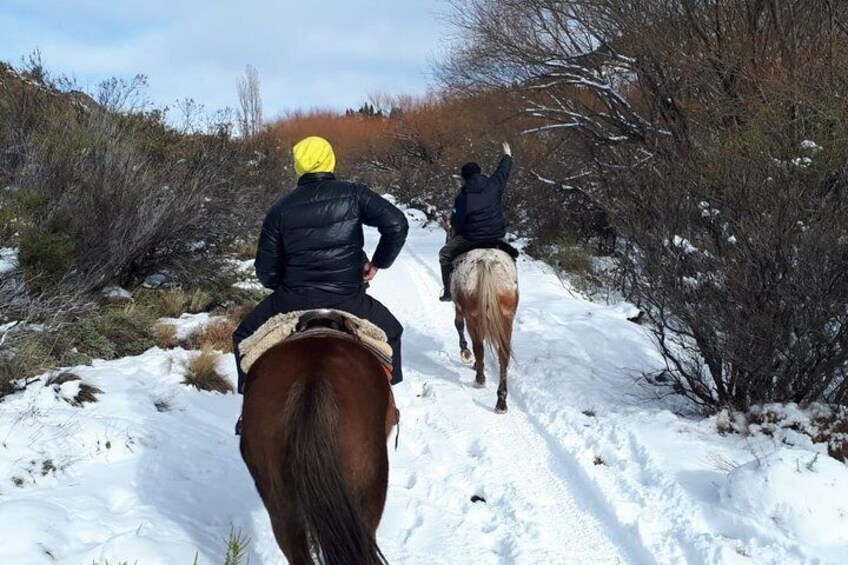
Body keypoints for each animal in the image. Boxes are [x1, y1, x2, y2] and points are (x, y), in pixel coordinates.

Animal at [450, 249, 516, 412]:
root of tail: (487, 261)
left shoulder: (460, 309)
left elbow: (458, 325)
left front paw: (466, 353)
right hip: (507, 318)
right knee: (503, 356)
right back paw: (501, 401)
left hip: (472, 317)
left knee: (478, 347)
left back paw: (479, 379)